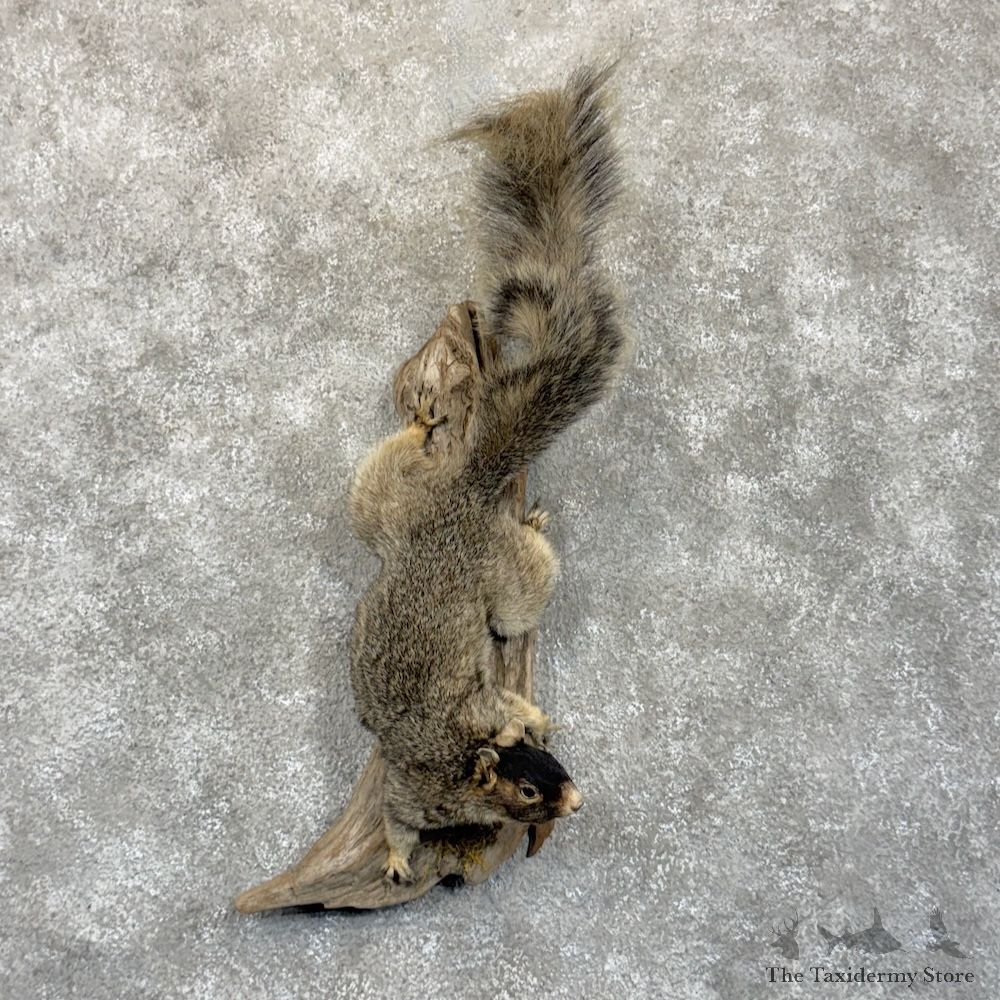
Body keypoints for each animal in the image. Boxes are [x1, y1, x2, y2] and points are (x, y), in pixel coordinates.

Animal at [348, 63, 625, 883]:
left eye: (554, 763)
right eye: (530, 790)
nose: (577, 801)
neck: (462, 757)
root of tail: (462, 495)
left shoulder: (480, 713)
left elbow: (506, 706)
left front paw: (532, 711)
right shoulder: (411, 790)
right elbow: (397, 824)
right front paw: (398, 862)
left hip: (415, 522)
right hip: (441, 542)